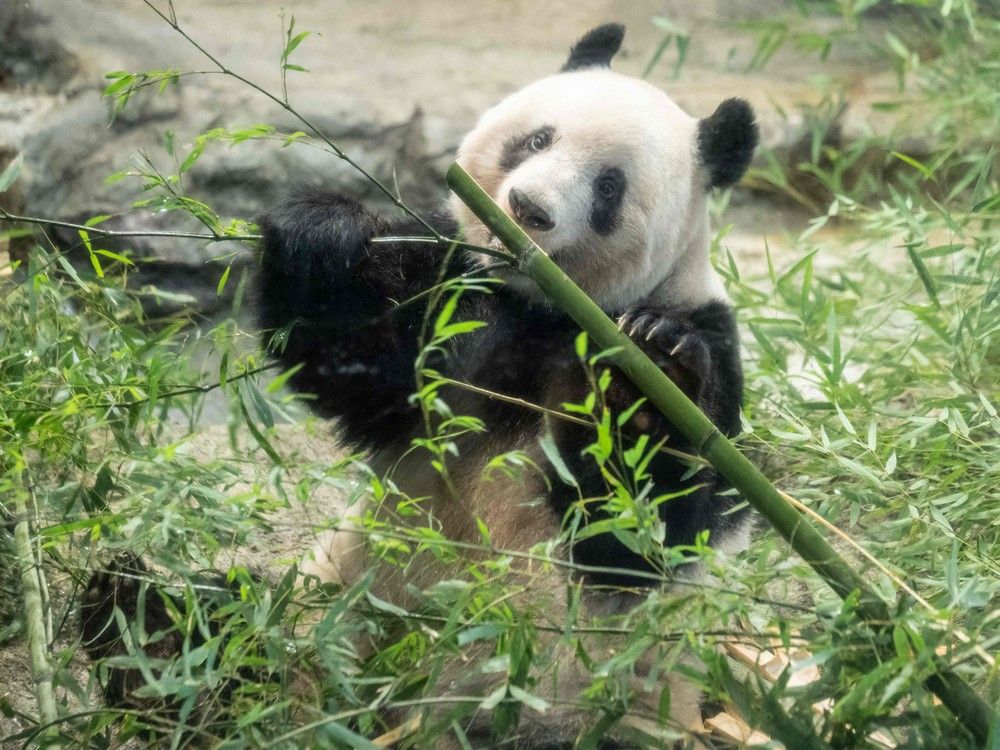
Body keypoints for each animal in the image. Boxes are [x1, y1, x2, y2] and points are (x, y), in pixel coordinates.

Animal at [80, 23, 757, 749]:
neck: (540, 302)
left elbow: (640, 529)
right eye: (538, 139)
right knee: (228, 624)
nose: (528, 209)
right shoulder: (453, 293)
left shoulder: (703, 340)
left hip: (572, 702)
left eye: (609, 187)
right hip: (324, 616)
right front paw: (324, 231)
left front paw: (642, 377)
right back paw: (142, 629)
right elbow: (361, 368)